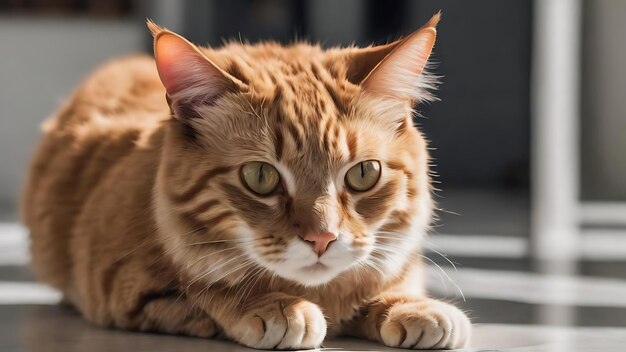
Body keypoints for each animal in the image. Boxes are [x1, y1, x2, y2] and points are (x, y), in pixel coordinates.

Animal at [20, 13, 468, 350]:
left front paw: (412, 305)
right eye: (260, 176)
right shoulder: (122, 287)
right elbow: (205, 288)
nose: (322, 238)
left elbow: (390, 281)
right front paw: (276, 306)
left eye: (363, 174)